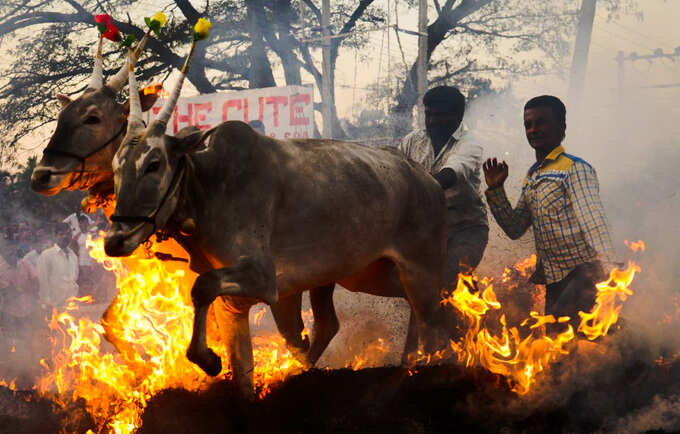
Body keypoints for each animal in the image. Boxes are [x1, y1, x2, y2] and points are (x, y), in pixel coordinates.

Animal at [105, 51, 446, 394]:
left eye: (154, 164)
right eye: (115, 167)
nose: (114, 241)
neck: (210, 186)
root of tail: (426, 178)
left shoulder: (263, 279)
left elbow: (202, 287)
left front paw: (209, 360)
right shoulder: (234, 303)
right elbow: (242, 371)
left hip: (420, 271)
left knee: (432, 319)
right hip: (364, 274)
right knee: (351, 320)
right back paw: (402, 364)